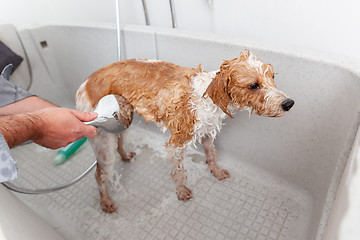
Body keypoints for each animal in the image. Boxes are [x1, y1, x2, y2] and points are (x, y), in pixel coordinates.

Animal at [75, 50, 292, 212]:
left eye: (272, 77)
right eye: (253, 85)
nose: (289, 103)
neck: (208, 96)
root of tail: (84, 84)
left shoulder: (206, 132)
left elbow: (211, 154)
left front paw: (216, 172)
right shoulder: (177, 142)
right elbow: (178, 171)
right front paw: (181, 192)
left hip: (122, 119)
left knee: (120, 140)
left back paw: (126, 156)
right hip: (104, 142)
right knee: (99, 175)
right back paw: (106, 202)